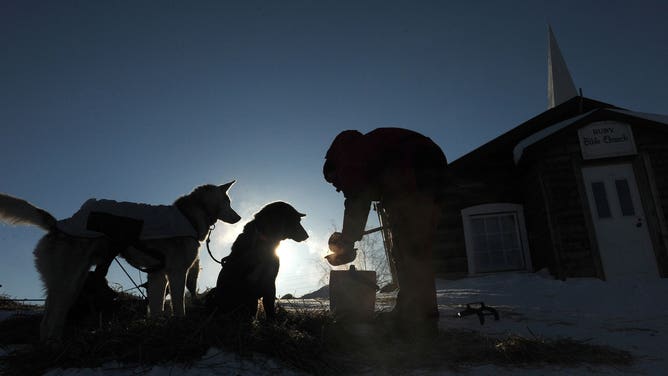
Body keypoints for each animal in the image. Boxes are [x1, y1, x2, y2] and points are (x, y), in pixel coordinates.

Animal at [0, 182, 240, 340]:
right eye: (228, 201)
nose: (238, 218)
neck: (189, 216)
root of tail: (58, 224)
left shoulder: (158, 275)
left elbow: (156, 307)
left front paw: (156, 327)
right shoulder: (177, 272)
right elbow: (178, 304)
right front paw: (180, 325)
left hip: (71, 284)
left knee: (49, 321)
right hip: (67, 283)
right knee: (49, 322)